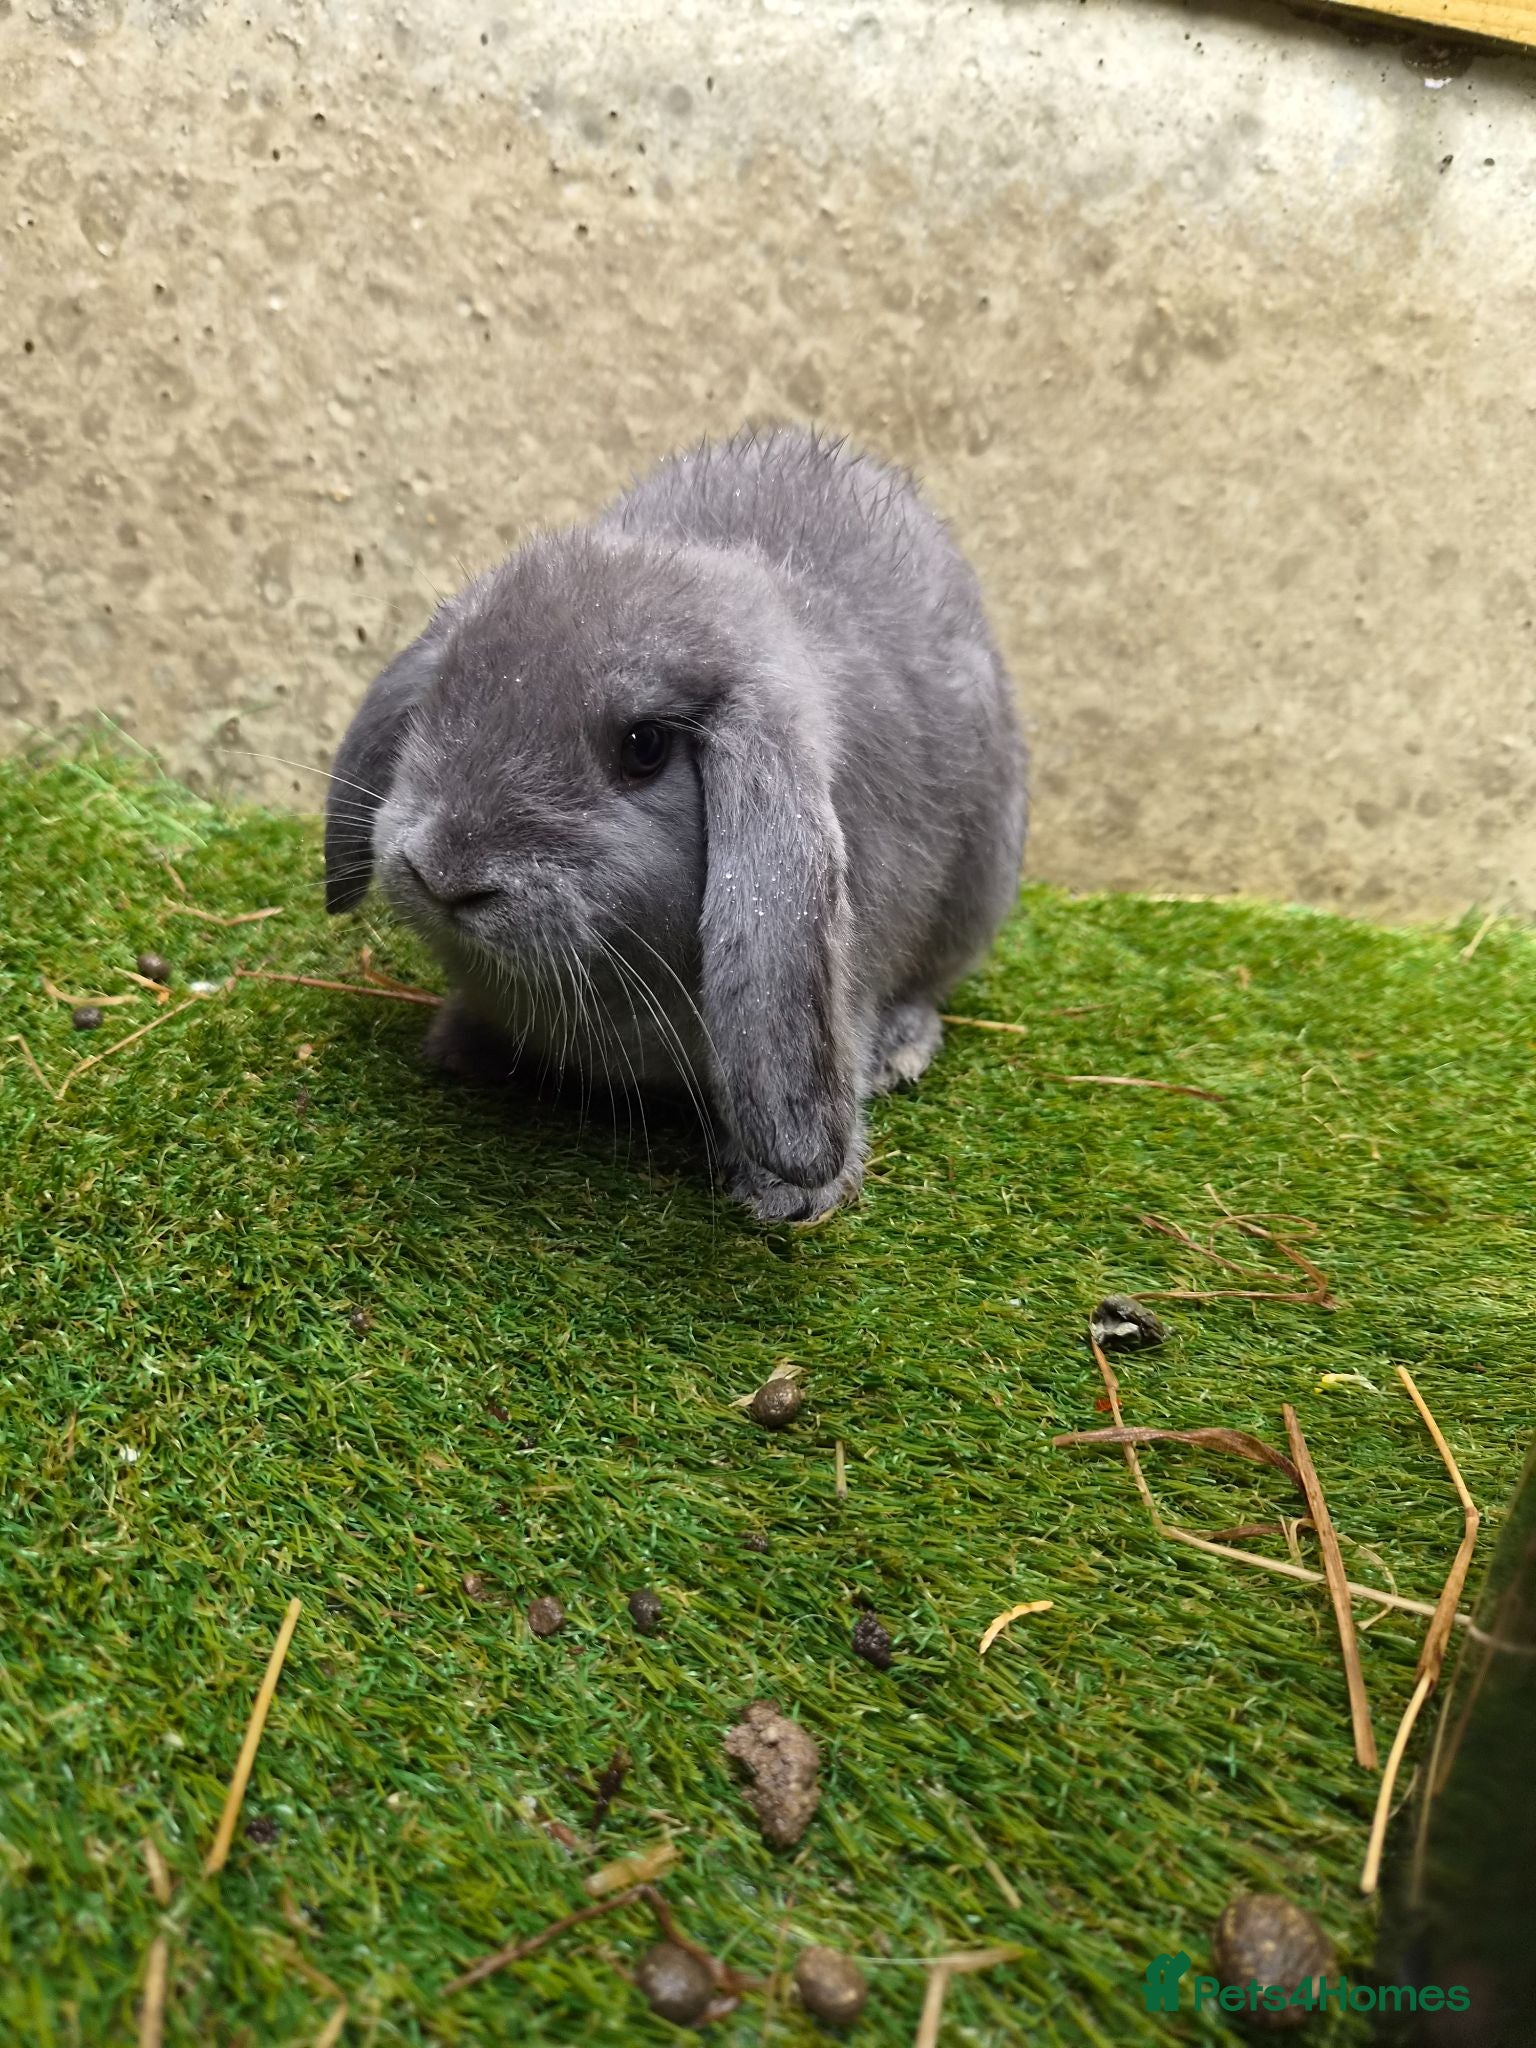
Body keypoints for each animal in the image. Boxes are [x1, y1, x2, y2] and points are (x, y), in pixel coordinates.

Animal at [324, 425, 1027, 1222]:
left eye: (644, 747)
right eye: (443, 695)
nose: (444, 875)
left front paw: (790, 1199)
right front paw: (458, 1044)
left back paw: (899, 1048)